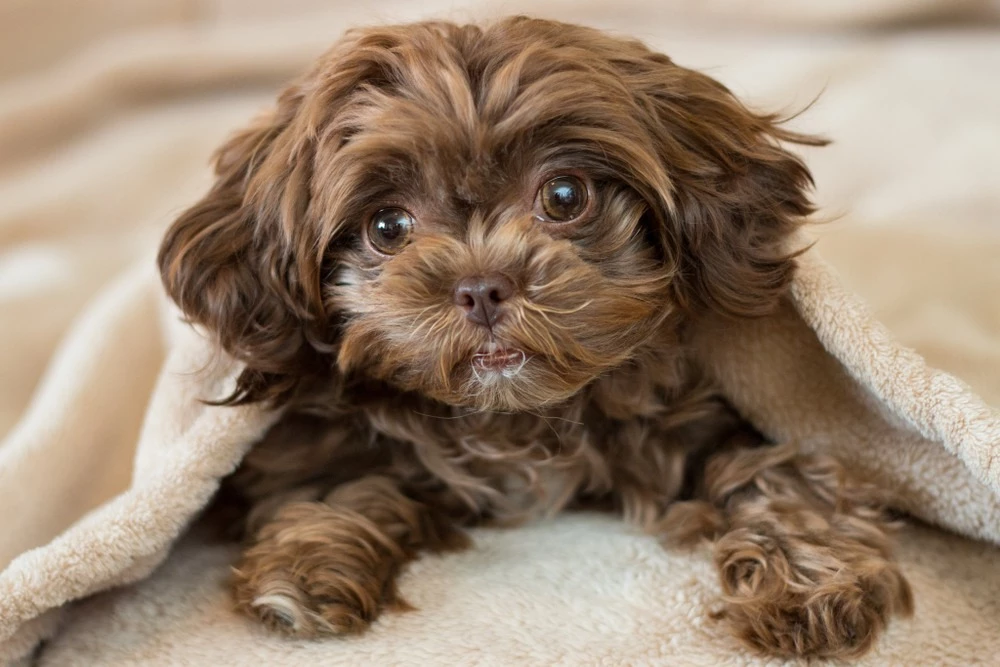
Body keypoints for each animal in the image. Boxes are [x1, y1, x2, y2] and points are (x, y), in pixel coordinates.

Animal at [156, 17, 916, 664]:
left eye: (564, 195)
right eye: (388, 226)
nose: (482, 287)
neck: (516, 419)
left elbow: (783, 473)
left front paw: (811, 580)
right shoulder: (308, 438)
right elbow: (331, 485)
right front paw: (305, 570)